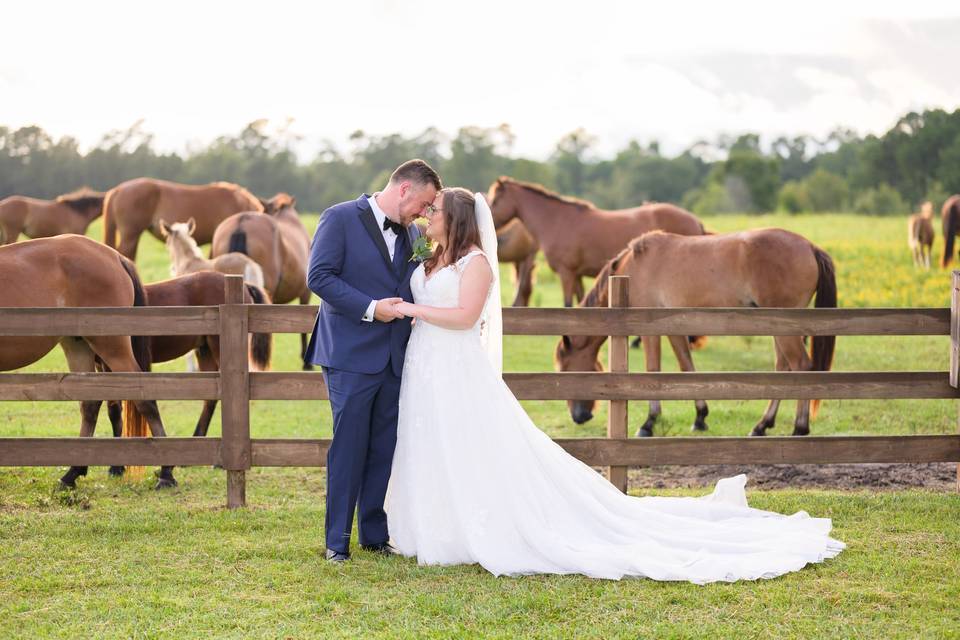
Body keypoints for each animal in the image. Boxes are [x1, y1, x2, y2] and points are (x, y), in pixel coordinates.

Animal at [0, 236, 176, 490]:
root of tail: (114, 256)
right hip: (78, 347)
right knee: (91, 404)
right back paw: (73, 472)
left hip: (112, 348)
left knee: (144, 399)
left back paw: (166, 472)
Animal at [488, 175, 704, 304]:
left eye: (495, 200)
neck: (558, 221)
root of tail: (695, 220)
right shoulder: (577, 275)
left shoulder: (567, 273)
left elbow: (567, 303)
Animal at [560, 228, 836, 438]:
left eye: (564, 367)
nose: (578, 417)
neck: (635, 264)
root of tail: (810, 247)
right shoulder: (674, 330)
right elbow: (687, 367)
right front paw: (700, 417)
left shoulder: (649, 331)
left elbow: (653, 370)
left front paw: (649, 423)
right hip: (780, 327)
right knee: (784, 367)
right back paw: (762, 426)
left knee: (800, 365)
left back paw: (799, 428)